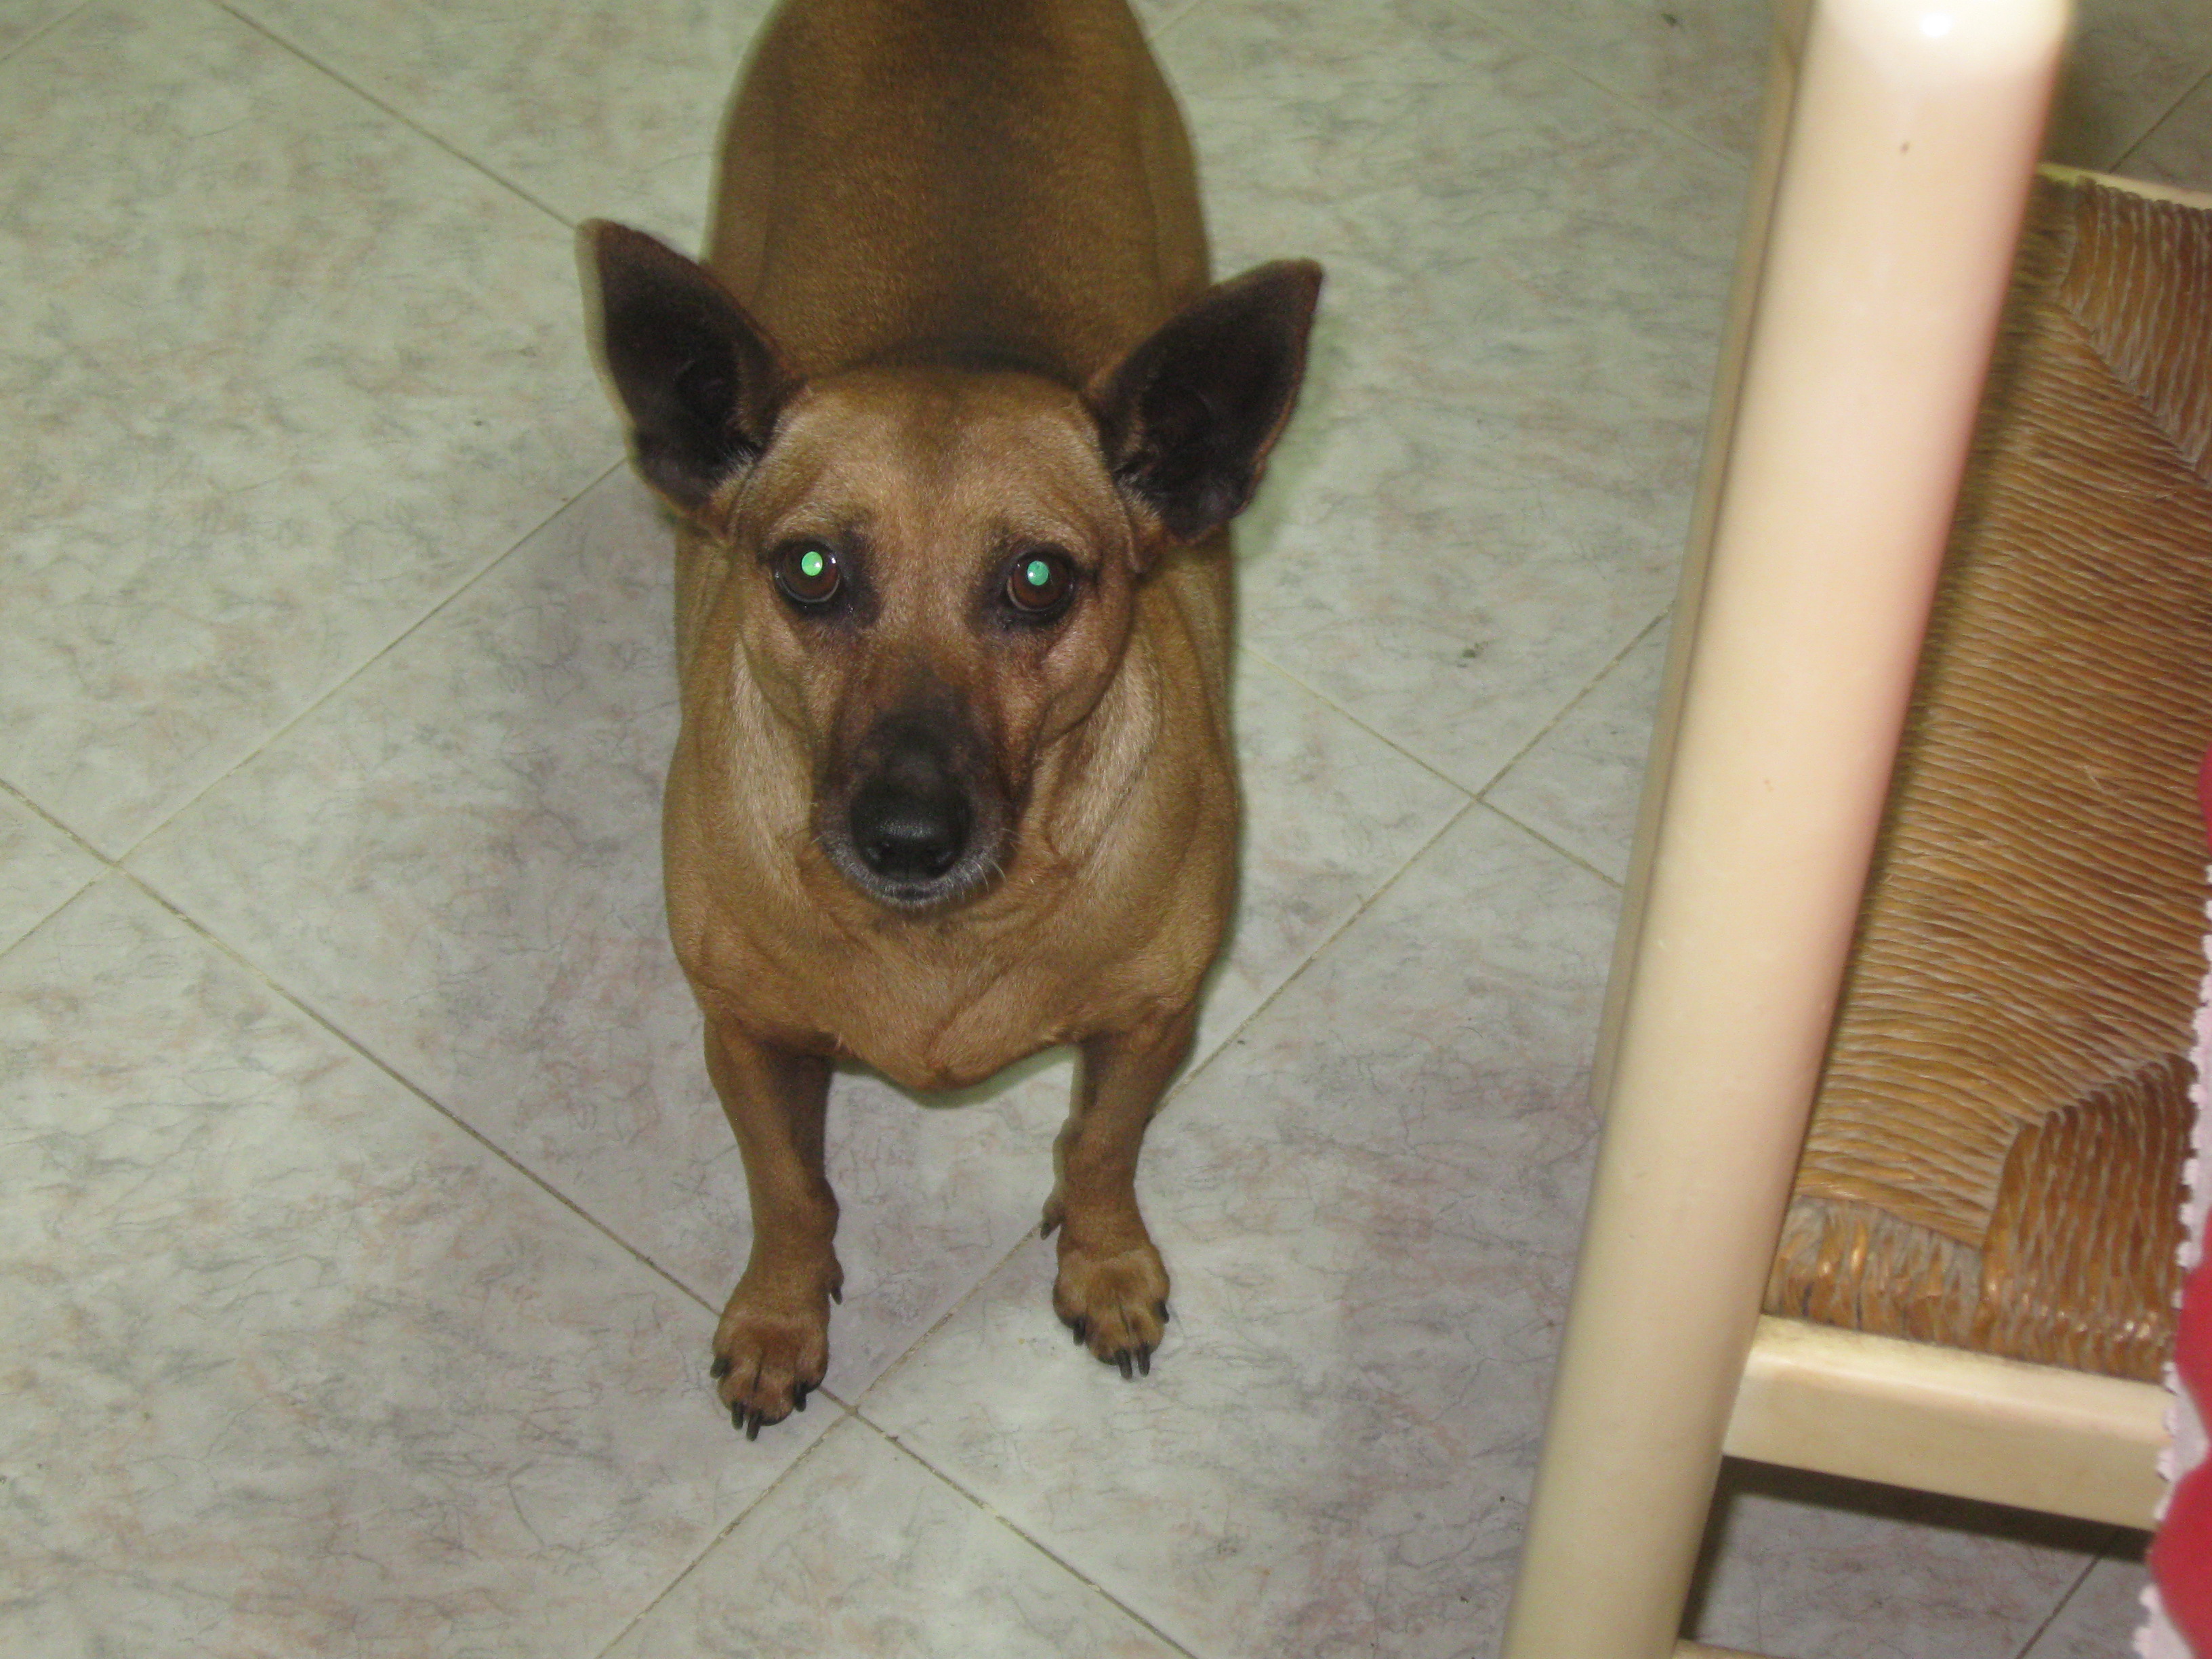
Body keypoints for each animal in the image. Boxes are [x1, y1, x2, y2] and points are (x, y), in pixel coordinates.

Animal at [579, 0, 1320, 1437]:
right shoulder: (745, 1036)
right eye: (810, 569)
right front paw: (779, 1313)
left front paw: (1104, 1263)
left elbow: (1099, 1146)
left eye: (1038, 579)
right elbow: (787, 1189)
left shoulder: (1148, 1021)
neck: (939, 939)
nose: (906, 832)